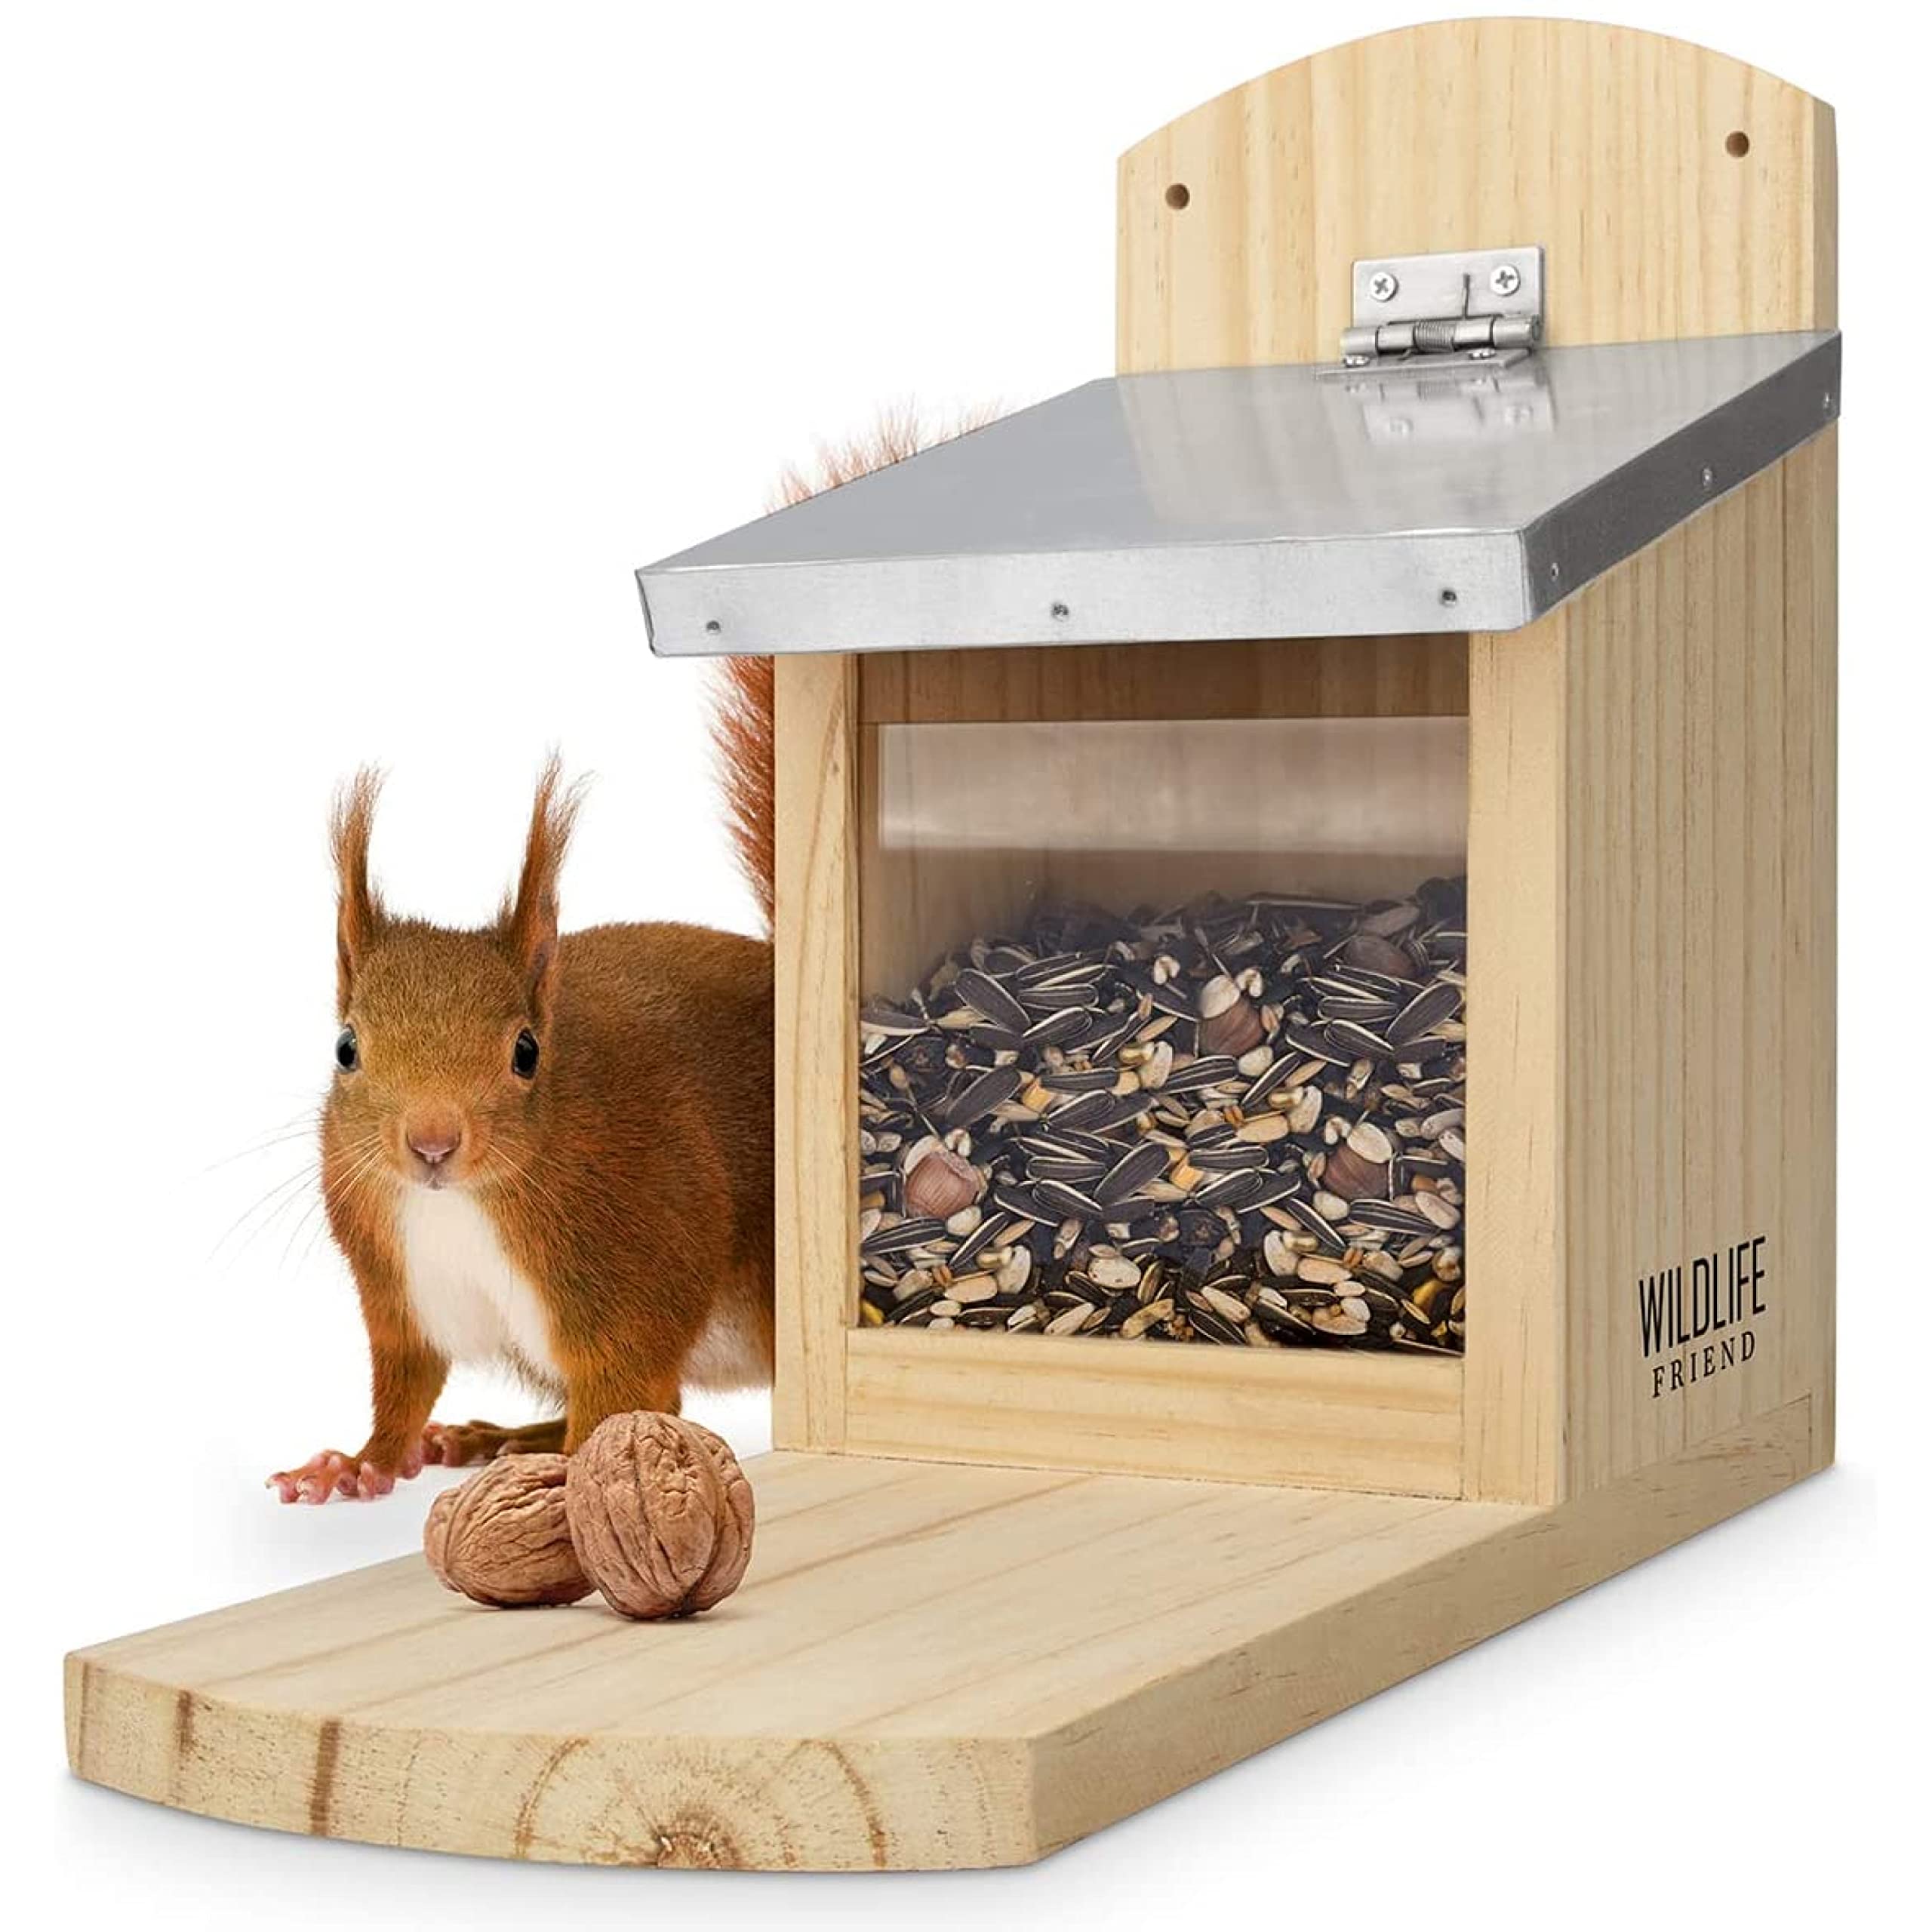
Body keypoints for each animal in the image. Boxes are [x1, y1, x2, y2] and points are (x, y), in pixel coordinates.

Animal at [270, 413, 961, 1503]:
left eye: (525, 1051)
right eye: (345, 1048)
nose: (431, 1144)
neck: (462, 1210)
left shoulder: (631, 1264)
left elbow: (628, 1392)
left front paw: (581, 1483)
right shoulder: (400, 1292)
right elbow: (401, 1385)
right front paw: (355, 1464)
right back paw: (501, 1437)